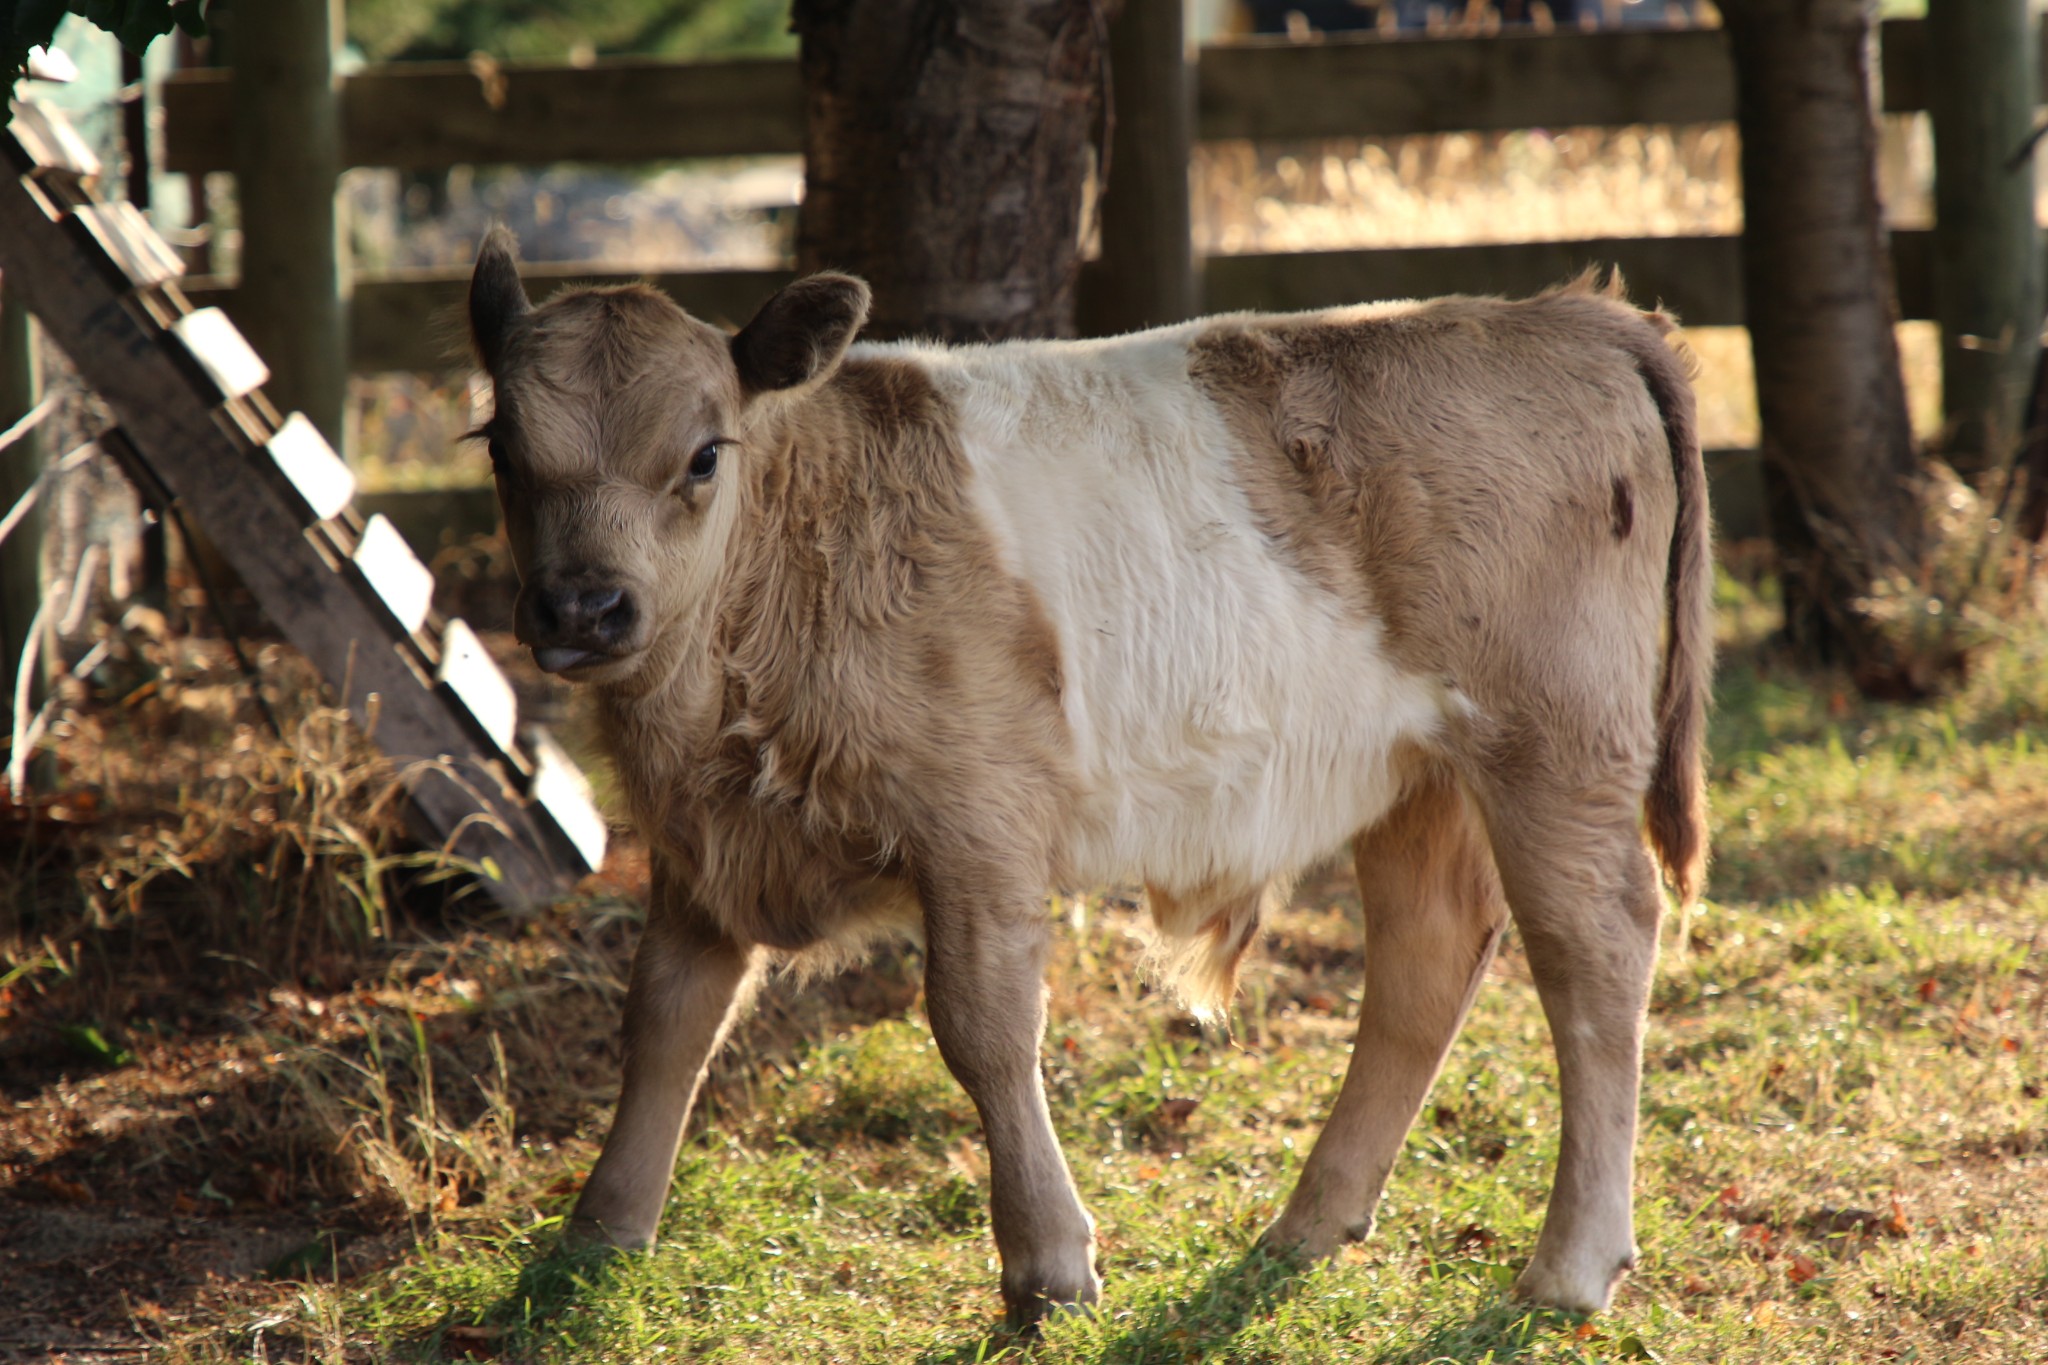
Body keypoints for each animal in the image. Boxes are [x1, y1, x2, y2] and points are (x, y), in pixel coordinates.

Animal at [468, 229, 1712, 1326]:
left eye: (701, 454)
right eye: (503, 453)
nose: (582, 607)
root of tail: (1570, 315)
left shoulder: (978, 823)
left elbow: (981, 1028)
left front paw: (1046, 1265)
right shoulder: (697, 850)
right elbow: (665, 1018)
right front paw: (596, 1233)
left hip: (1553, 743)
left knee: (1593, 949)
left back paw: (1568, 1264)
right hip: (1416, 774)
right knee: (1426, 957)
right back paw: (1307, 1225)